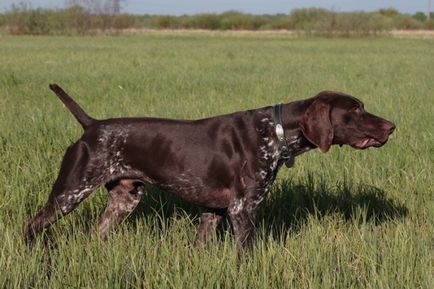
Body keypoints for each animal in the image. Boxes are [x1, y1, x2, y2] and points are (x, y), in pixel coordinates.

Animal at [24, 84, 396, 249]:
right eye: (356, 110)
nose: (392, 126)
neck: (275, 131)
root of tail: (92, 126)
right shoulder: (242, 210)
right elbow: (246, 254)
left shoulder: (213, 211)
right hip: (70, 191)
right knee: (32, 224)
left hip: (124, 200)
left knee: (96, 233)